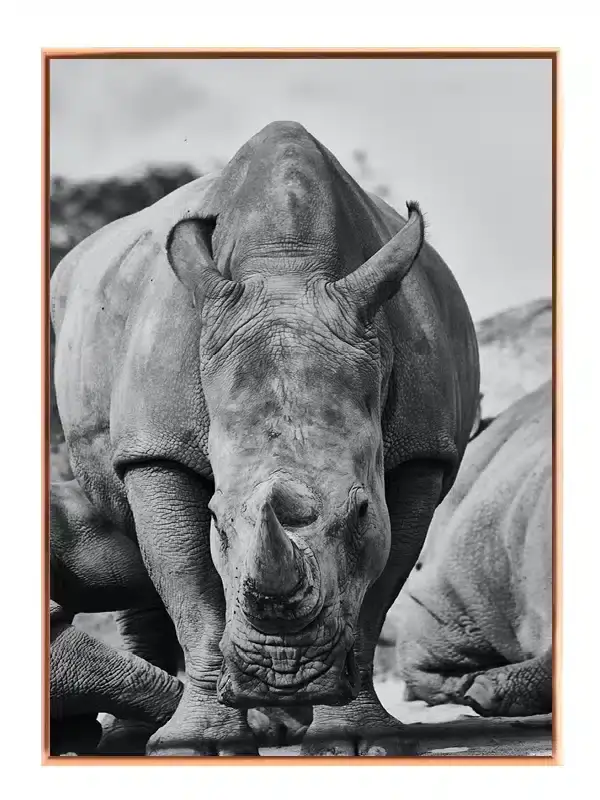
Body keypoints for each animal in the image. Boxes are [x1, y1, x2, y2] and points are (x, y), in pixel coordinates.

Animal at [50, 121, 479, 756]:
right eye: (217, 519)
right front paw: (197, 748)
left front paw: (356, 741)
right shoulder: (157, 446)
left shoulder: (421, 454)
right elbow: (190, 585)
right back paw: (142, 741)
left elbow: (376, 595)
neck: (288, 271)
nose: (284, 670)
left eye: (360, 514)